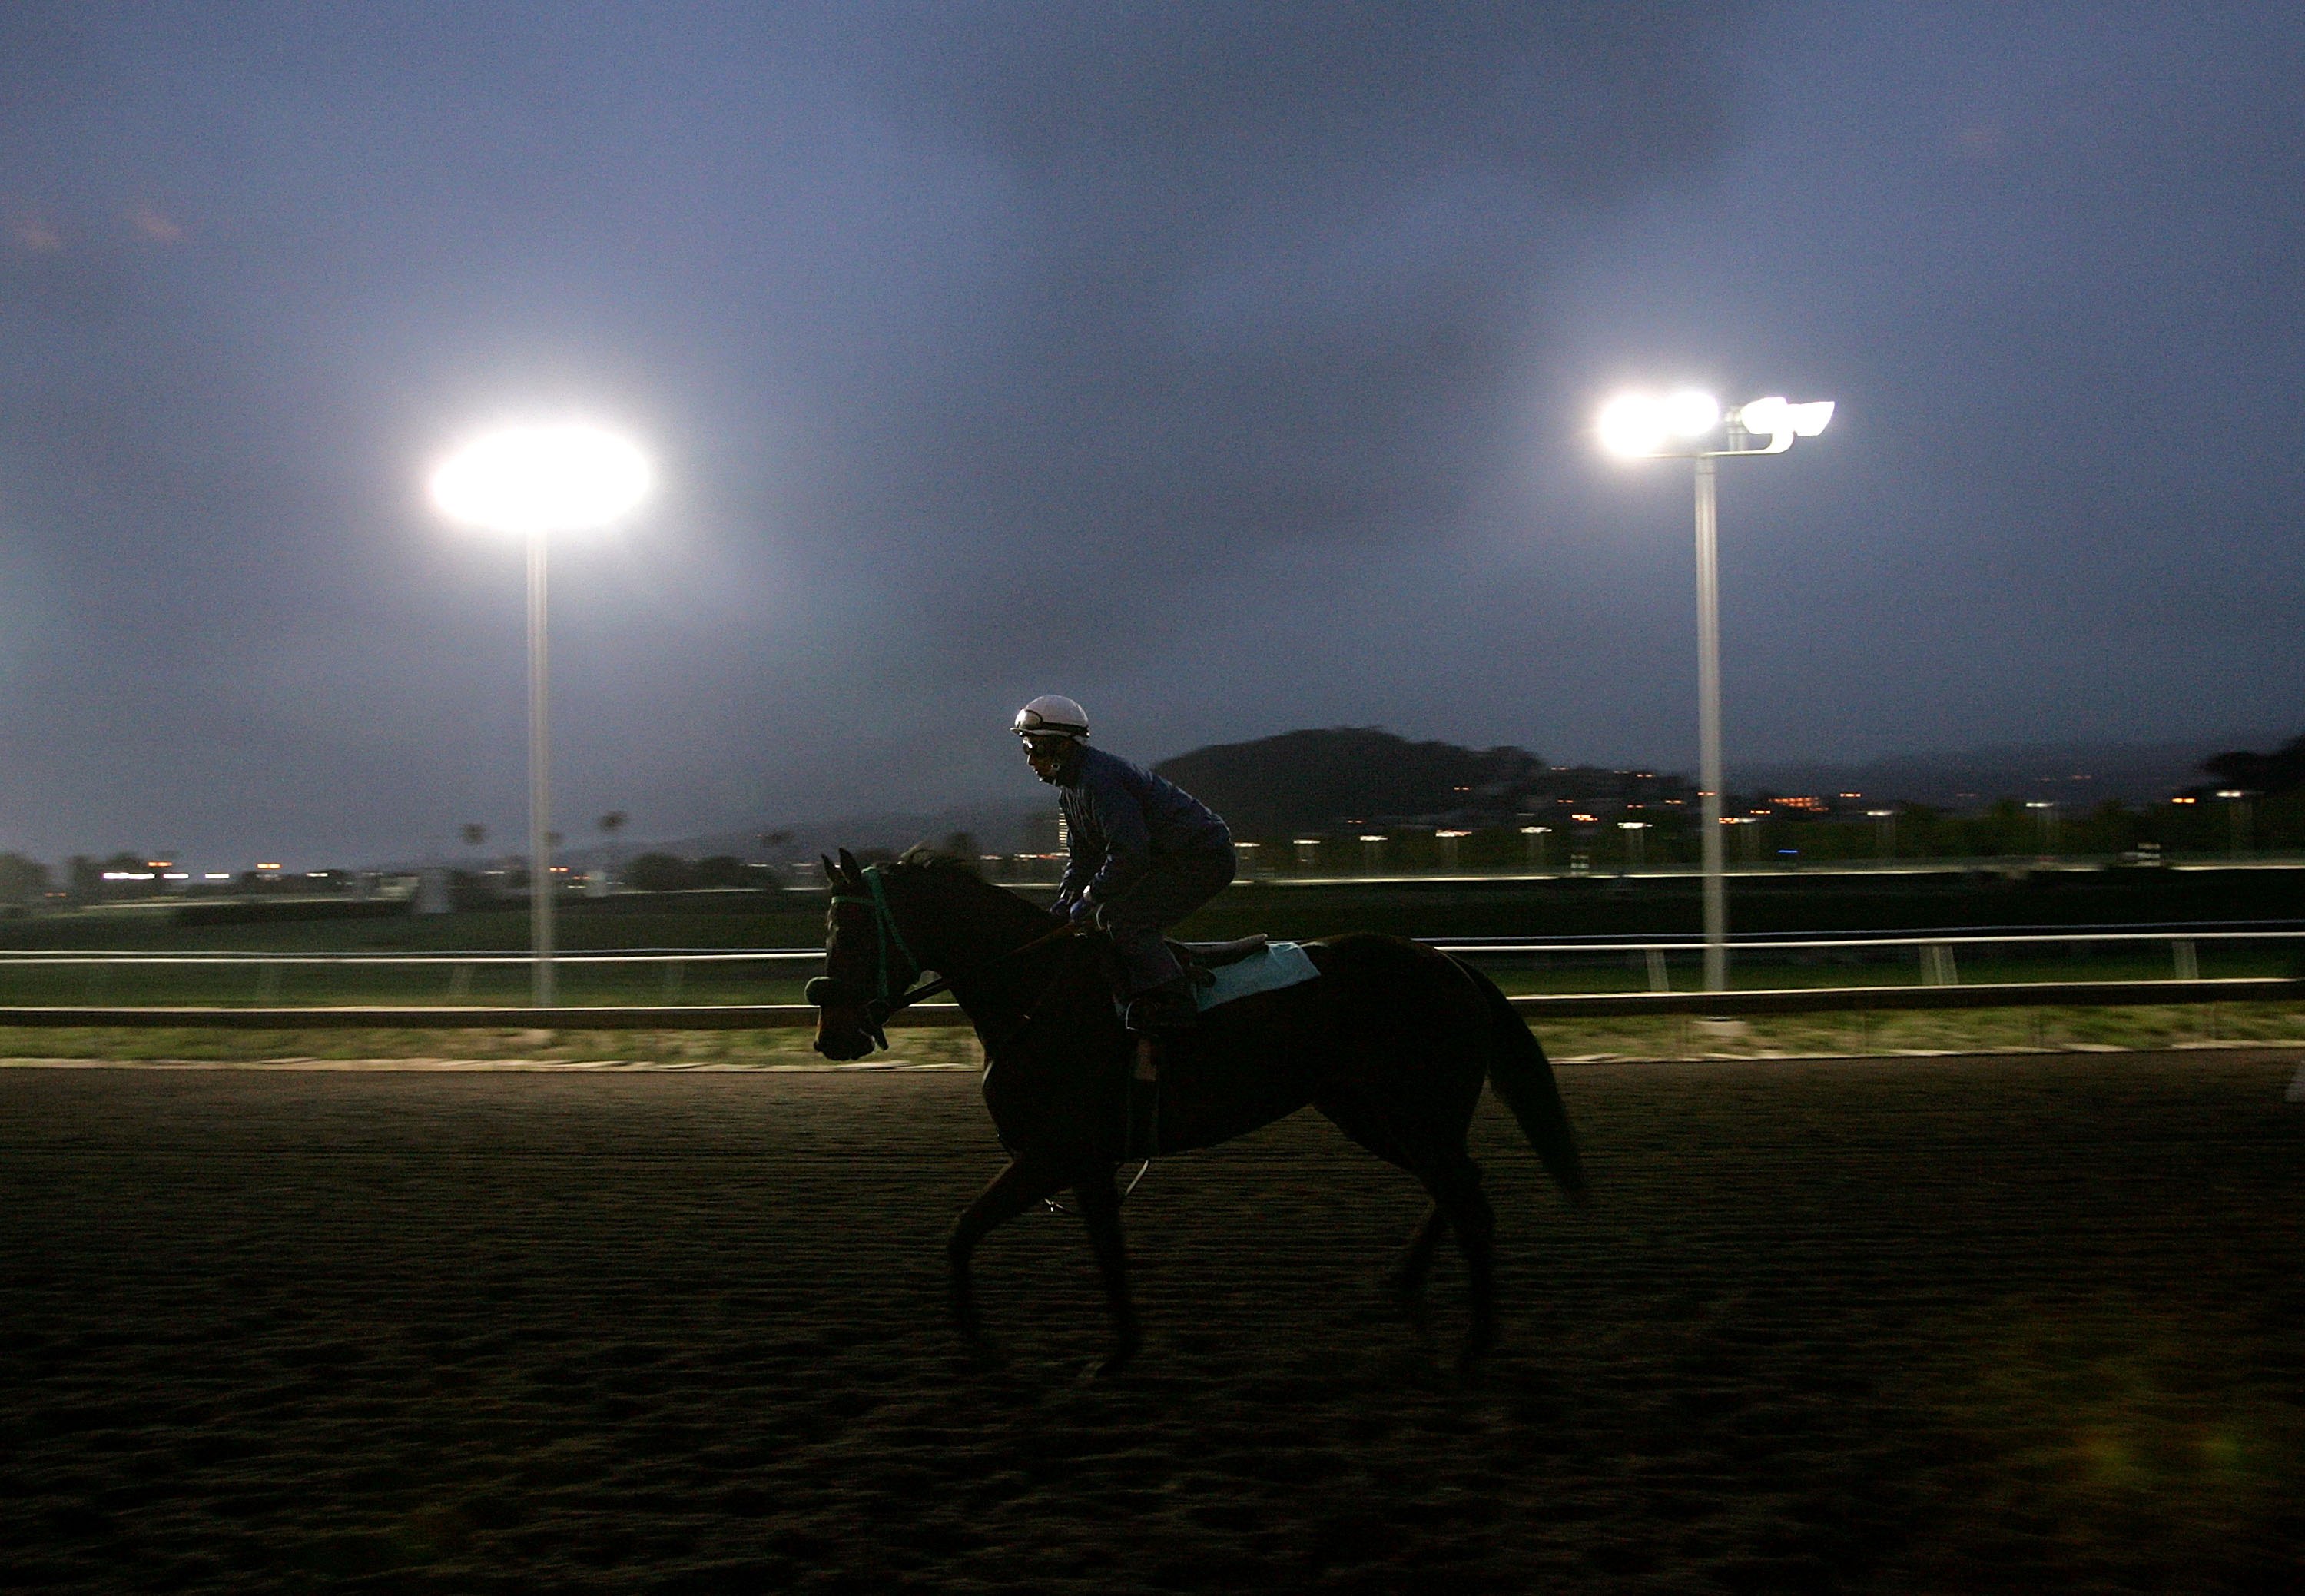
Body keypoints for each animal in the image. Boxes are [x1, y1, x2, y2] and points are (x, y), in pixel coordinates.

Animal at [807, 848, 1586, 1374]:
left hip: (1413, 1111)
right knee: (1458, 1185)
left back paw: (1474, 1342)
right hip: (1371, 1112)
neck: (1037, 991)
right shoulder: (1083, 1161)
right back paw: (1406, 1288)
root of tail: (1451, 964)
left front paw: (984, 1343)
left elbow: (964, 1231)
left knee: (1465, 1197)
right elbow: (1097, 1249)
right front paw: (1118, 1350)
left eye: (853, 933)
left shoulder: (1055, 1153)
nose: (832, 1034)